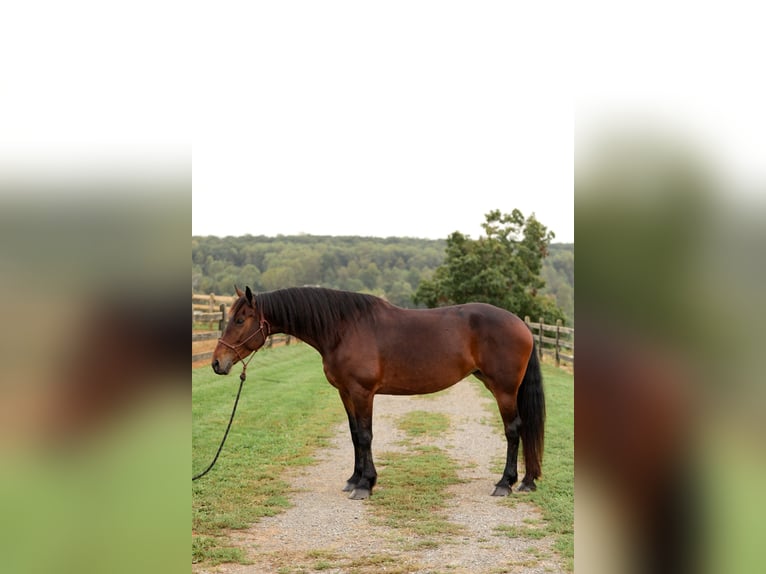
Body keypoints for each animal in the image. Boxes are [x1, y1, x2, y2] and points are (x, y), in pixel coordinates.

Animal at [212, 286, 545, 500]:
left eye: (239, 320)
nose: (217, 363)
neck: (344, 328)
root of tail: (522, 325)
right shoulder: (346, 393)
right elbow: (353, 435)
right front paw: (354, 479)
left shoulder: (363, 393)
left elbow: (365, 435)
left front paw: (366, 485)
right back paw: (527, 482)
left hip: (504, 390)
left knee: (514, 430)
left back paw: (505, 483)